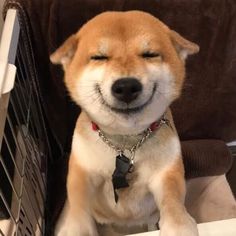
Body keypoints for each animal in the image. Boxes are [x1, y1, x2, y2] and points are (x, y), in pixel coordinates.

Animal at [50, 10, 200, 235]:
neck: (124, 142)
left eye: (150, 54)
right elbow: (78, 202)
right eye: (99, 57)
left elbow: (173, 200)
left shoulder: (165, 173)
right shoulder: (83, 171)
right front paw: (77, 227)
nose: (127, 86)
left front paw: (178, 226)